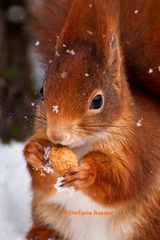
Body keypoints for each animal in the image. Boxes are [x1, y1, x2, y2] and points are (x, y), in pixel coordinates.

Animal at [23, 0, 160, 240]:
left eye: (97, 101)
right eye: (41, 91)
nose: (56, 135)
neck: (81, 147)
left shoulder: (135, 150)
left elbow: (124, 182)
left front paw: (87, 173)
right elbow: (42, 184)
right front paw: (33, 153)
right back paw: (42, 233)